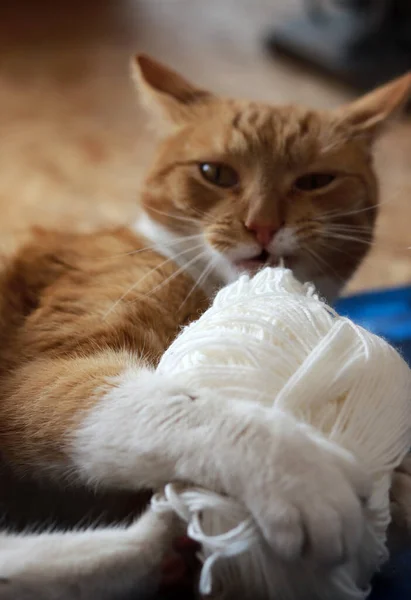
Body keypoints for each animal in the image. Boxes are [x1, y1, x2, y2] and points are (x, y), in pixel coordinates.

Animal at [0, 52, 410, 600]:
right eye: (216, 173)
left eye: (314, 181)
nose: (262, 226)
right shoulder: (37, 375)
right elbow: (177, 405)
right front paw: (298, 469)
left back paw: (164, 545)